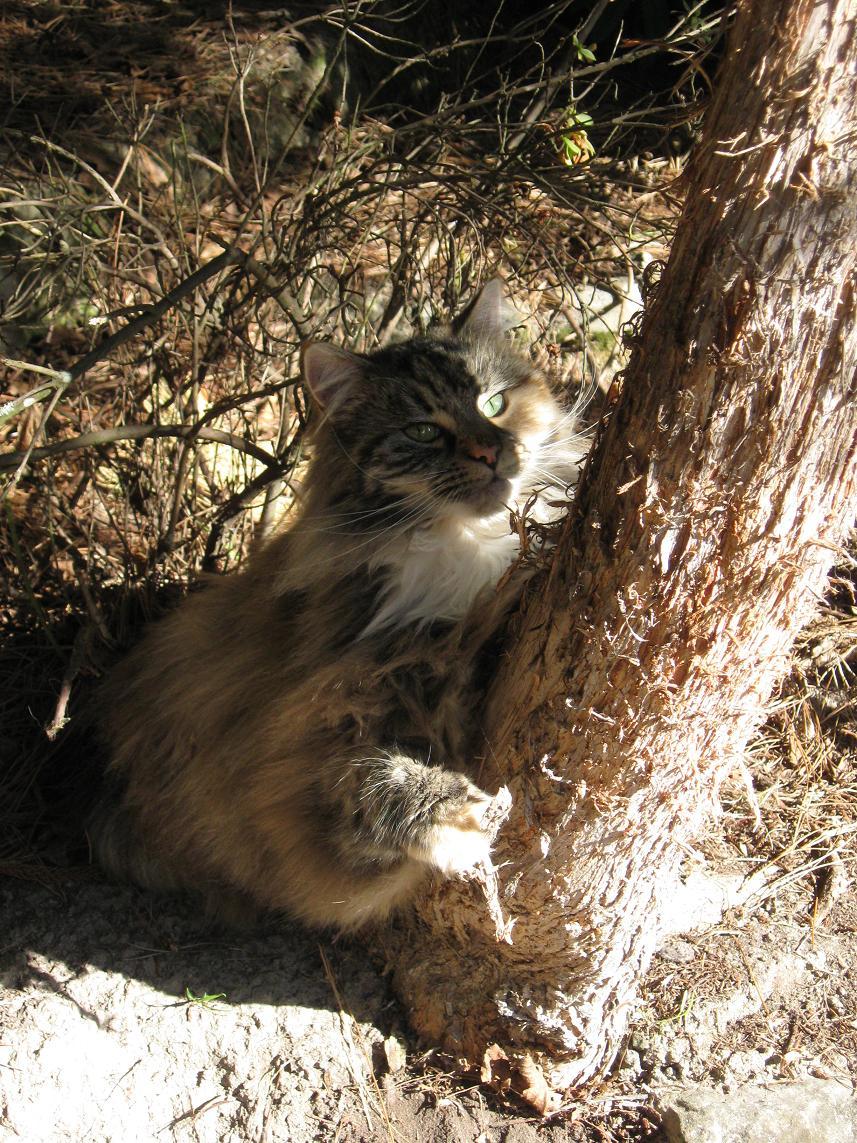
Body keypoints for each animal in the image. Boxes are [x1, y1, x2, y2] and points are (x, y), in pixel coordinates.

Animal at [87, 281, 589, 932]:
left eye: (496, 403)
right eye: (422, 432)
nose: (489, 451)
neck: (466, 545)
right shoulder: (319, 716)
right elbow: (366, 785)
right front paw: (454, 818)